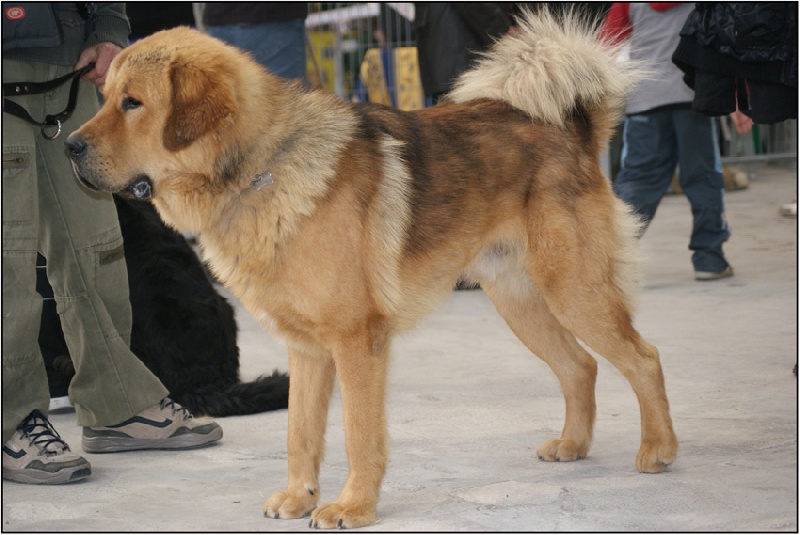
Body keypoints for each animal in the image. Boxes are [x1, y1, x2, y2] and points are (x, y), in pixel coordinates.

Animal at [70, 10, 676, 528]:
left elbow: (358, 436)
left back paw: (658, 448)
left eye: (132, 103)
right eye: (105, 98)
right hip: (521, 302)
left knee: (643, 359)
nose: (70, 145)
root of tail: (572, 130)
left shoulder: (356, 342)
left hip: (574, 291)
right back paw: (574, 444)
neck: (260, 167)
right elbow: (300, 432)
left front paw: (353, 507)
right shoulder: (307, 350)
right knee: (581, 367)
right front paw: (298, 497)